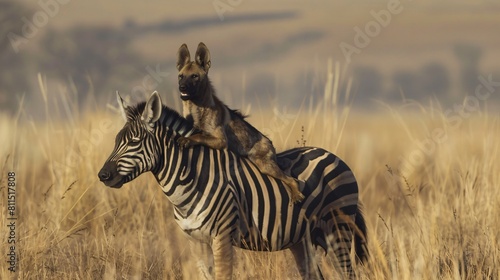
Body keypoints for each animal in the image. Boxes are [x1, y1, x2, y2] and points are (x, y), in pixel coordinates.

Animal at [97, 91, 368, 278]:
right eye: (116, 141)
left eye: (134, 142)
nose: (103, 175)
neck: (190, 182)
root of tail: (335, 156)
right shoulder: (196, 242)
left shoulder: (223, 237)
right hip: (301, 239)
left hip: (338, 228)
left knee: (348, 273)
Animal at [176, 41, 302, 202]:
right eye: (181, 76)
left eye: (194, 76)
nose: (182, 87)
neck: (197, 109)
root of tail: (271, 144)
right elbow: (197, 133)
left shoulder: (221, 141)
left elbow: (198, 135)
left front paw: (187, 140)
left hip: (264, 166)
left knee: (292, 180)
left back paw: (297, 195)